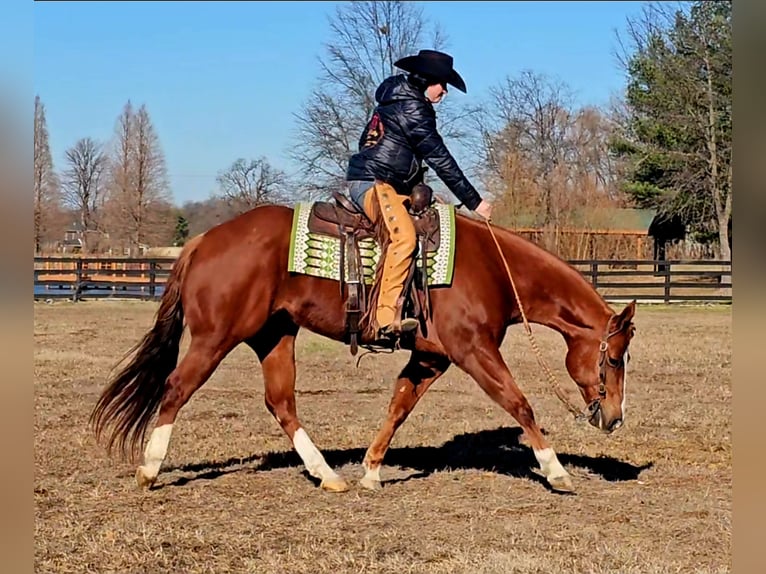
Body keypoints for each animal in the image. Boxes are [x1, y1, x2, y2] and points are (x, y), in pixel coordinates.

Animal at [90, 201, 636, 494]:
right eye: (613, 357)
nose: (614, 418)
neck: (493, 268)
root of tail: (203, 241)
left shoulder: (431, 358)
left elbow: (398, 407)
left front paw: (372, 472)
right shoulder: (473, 352)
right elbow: (519, 403)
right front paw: (556, 470)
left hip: (274, 336)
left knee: (281, 402)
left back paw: (329, 475)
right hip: (214, 338)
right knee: (176, 388)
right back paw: (149, 470)